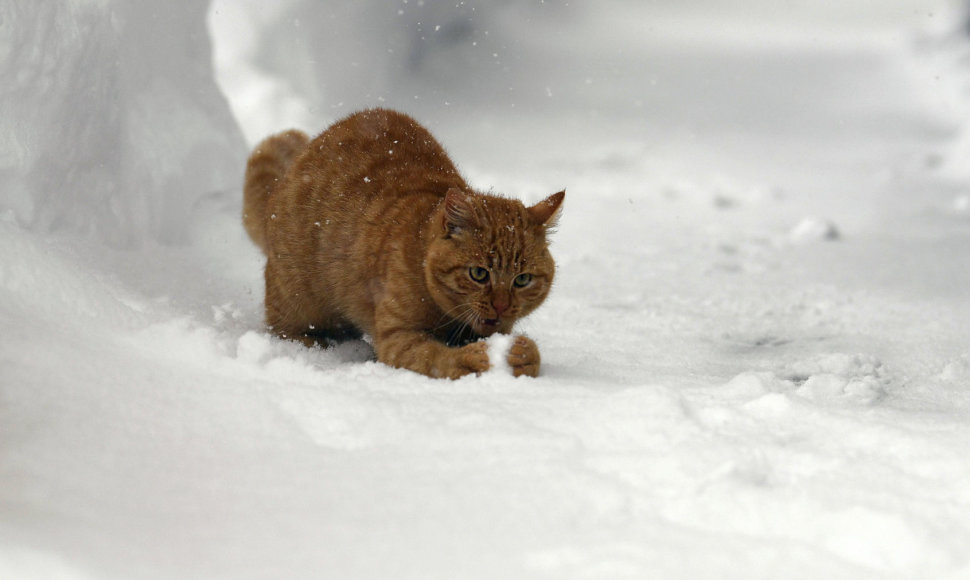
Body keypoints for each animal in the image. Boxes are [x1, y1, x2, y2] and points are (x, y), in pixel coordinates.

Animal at [240, 108, 560, 378]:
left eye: (523, 279)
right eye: (478, 274)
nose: (501, 306)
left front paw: (525, 356)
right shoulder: (397, 336)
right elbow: (432, 356)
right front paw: (466, 360)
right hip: (298, 299)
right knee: (282, 328)